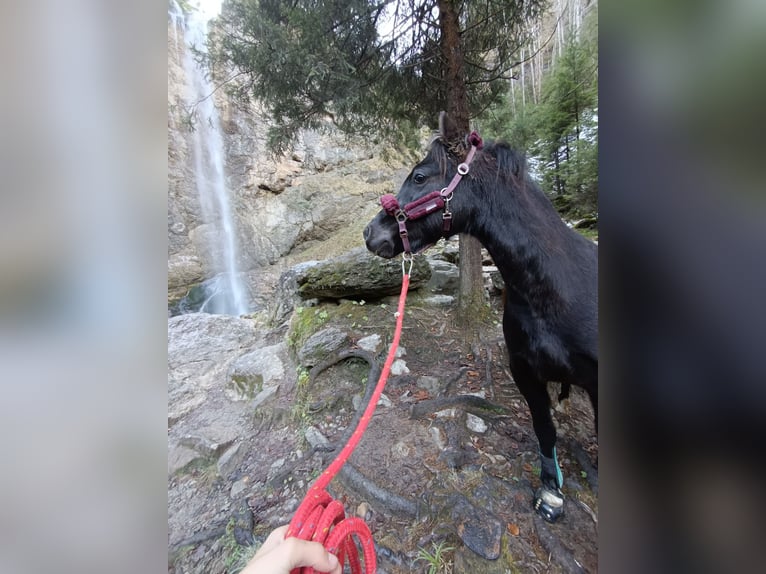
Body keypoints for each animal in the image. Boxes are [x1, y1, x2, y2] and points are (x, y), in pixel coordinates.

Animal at [366, 111, 600, 520]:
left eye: (419, 176)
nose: (369, 232)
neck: (558, 289)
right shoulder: (524, 370)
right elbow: (544, 428)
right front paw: (551, 491)